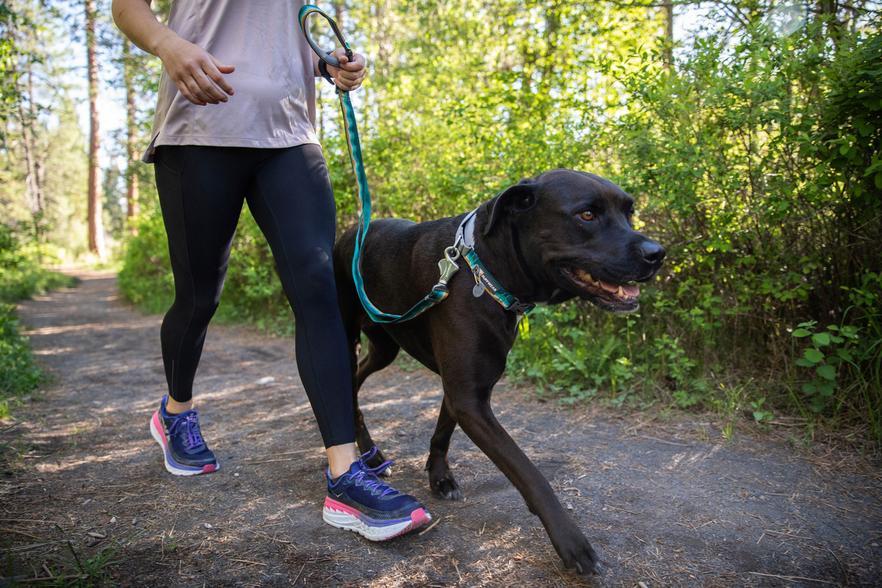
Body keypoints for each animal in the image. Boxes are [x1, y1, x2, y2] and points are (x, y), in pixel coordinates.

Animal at [334, 169, 664, 576]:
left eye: (629, 212)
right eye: (587, 214)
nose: (657, 254)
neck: (484, 270)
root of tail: (349, 232)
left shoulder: (465, 390)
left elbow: (442, 432)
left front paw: (440, 478)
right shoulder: (470, 400)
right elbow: (530, 473)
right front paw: (572, 542)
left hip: (385, 346)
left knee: (360, 377)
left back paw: (372, 453)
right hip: (343, 336)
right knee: (347, 386)